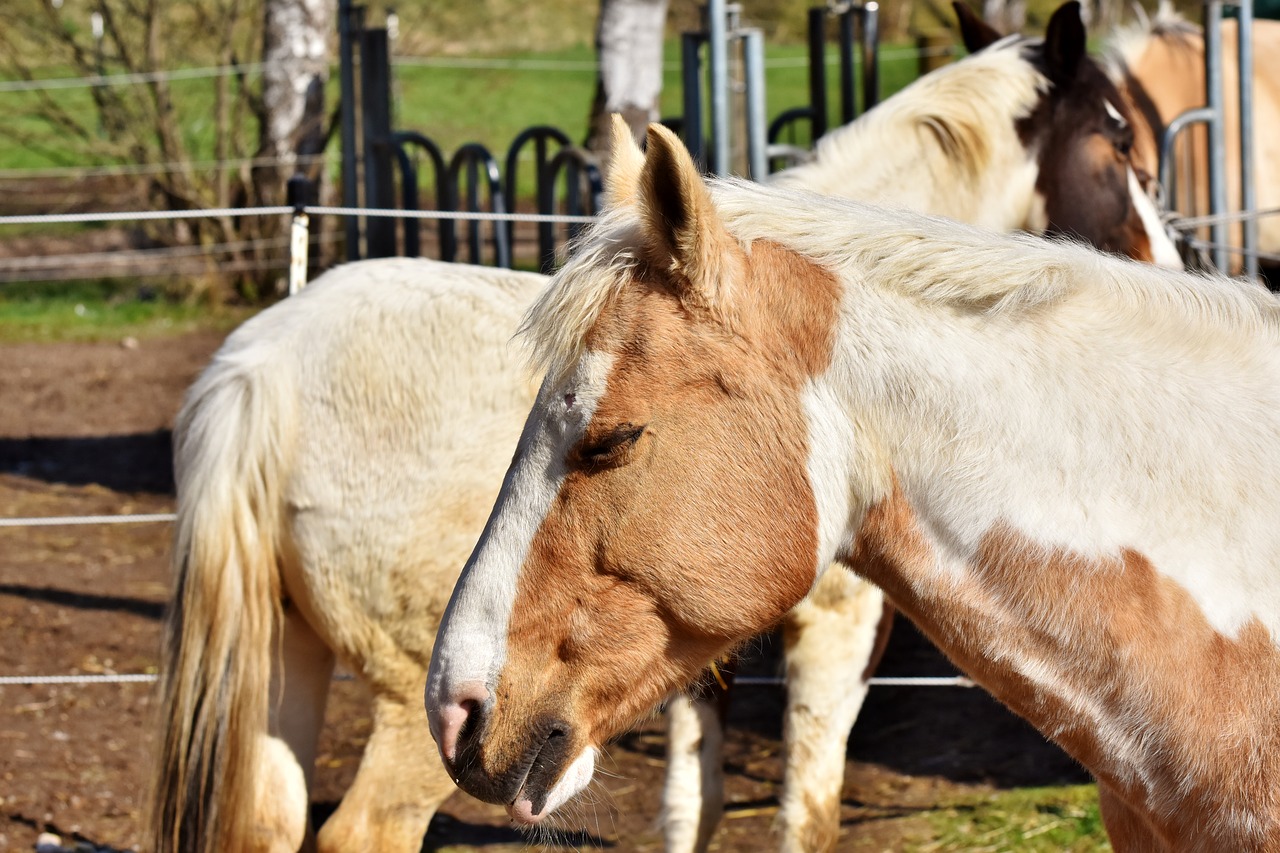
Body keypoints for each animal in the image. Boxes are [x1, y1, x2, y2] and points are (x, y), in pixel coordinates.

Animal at [149, 3, 1177, 845]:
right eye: (1119, 138)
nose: (1168, 263)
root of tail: (258, 369)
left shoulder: (685, 655)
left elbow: (694, 805)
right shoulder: (835, 633)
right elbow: (807, 812)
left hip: (290, 667)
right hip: (413, 714)